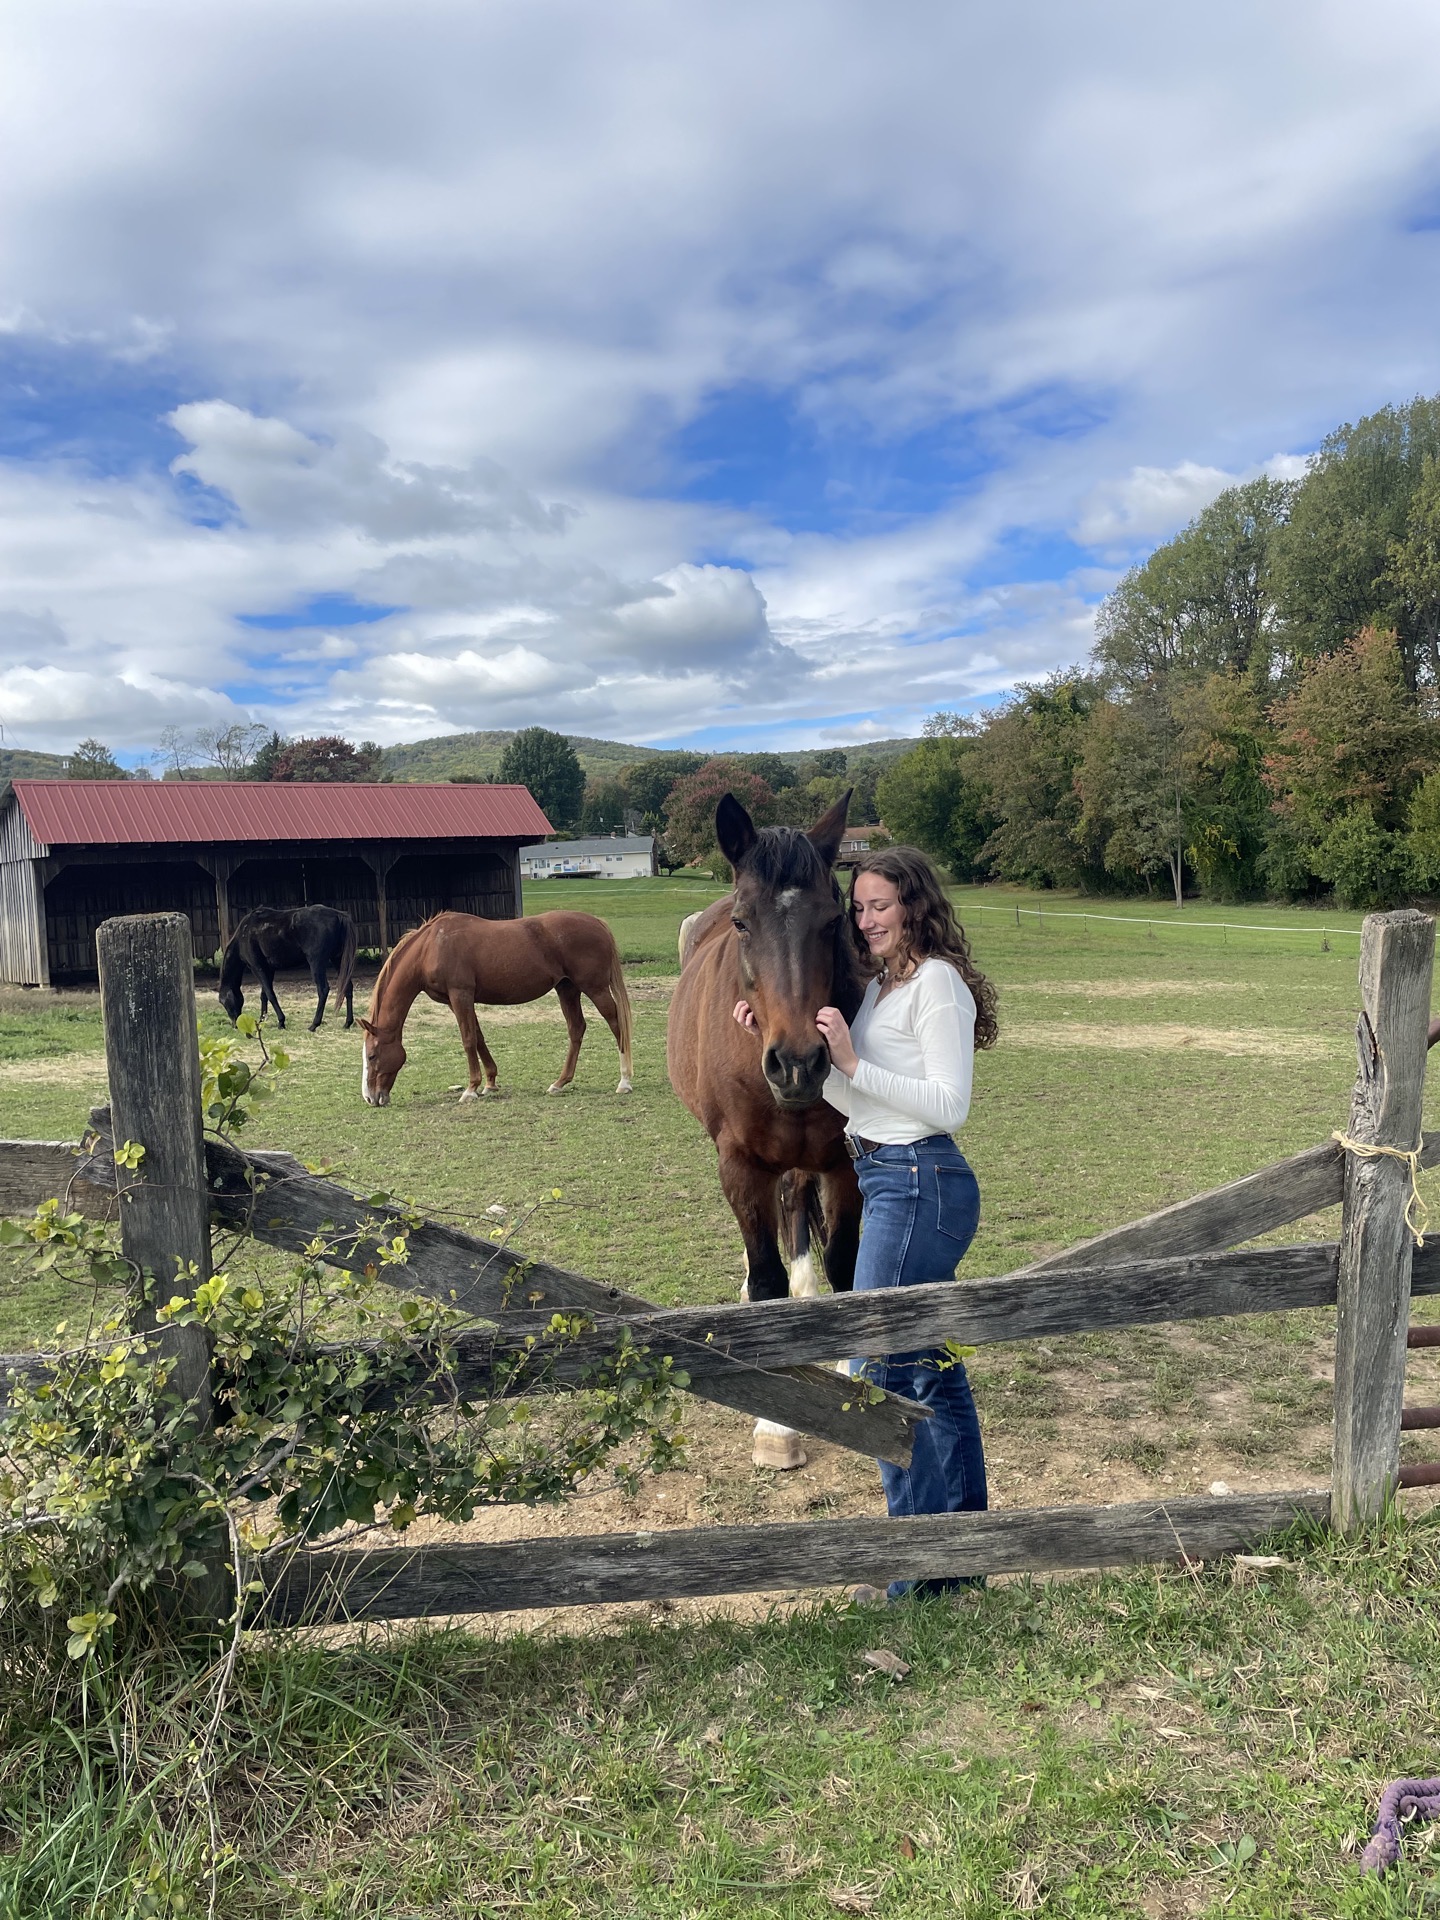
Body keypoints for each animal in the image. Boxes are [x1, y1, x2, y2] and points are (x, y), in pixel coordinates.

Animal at [218, 905, 357, 1032]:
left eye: (224, 1002)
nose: (235, 1025)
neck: (244, 933)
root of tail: (339, 915)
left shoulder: (257, 967)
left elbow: (270, 994)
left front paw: (281, 1022)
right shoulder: (268, 969)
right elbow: (264, 995)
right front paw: (262, 1020)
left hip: (317, 962)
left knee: (323, 990)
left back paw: (314, 1025)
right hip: (338, 960)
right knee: (348, 987)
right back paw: (347, 1023)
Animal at [360, 909, 634, 1107]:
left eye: (372, 1055)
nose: (370, 1097)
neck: (431, 946)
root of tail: (597, 923)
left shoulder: (461, 995)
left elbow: (468, 1039)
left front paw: (470, 1089)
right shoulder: (457, 1000)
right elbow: (478, 1037)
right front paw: (489, 1083)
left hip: (595, 988)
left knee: (616, 1024)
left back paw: (624, 1081)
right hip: (567, 989)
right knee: (576, 1029)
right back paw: (560, 1083)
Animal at [667, 792, 864, 1468]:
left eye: (832, 922)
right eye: (743, 923)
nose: (799, 1061)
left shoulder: (845, 1165)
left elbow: (847, 1272)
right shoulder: (742, 1166)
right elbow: (769, 1282)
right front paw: (776, 1424)